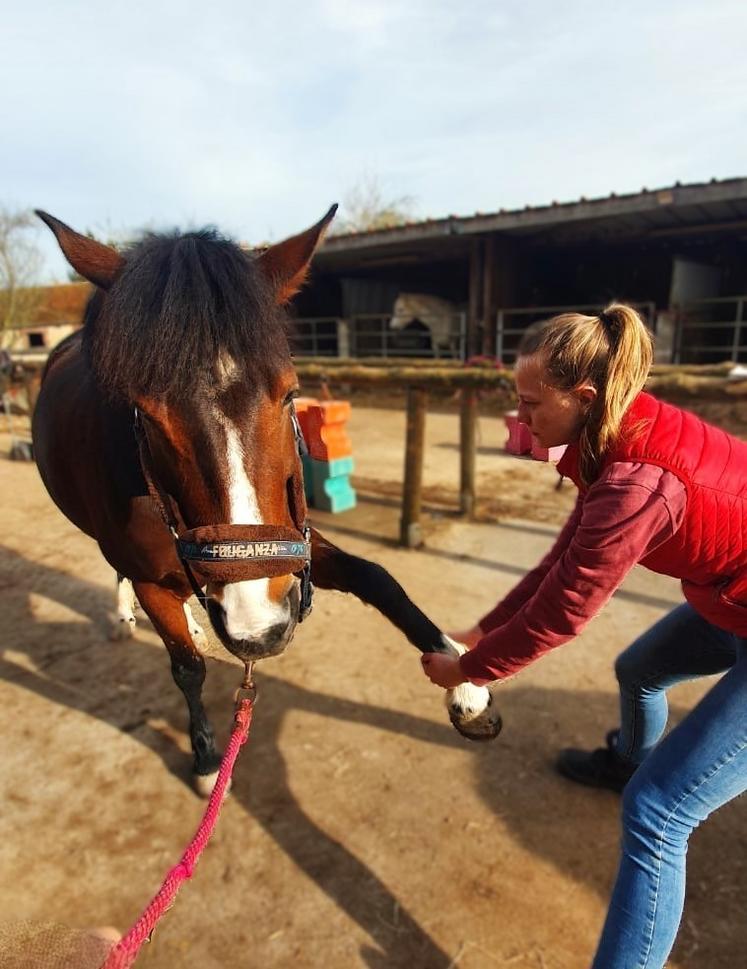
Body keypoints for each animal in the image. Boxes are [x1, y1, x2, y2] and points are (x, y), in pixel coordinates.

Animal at [32, 208, 500, 792]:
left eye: (290, 393)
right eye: (146, 414)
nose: (259, 629)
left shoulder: (291, 545)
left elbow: (376, 577)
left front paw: (464, 683)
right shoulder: (155, 575)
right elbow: (186, 668)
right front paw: (207, 757)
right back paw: (131, 619)